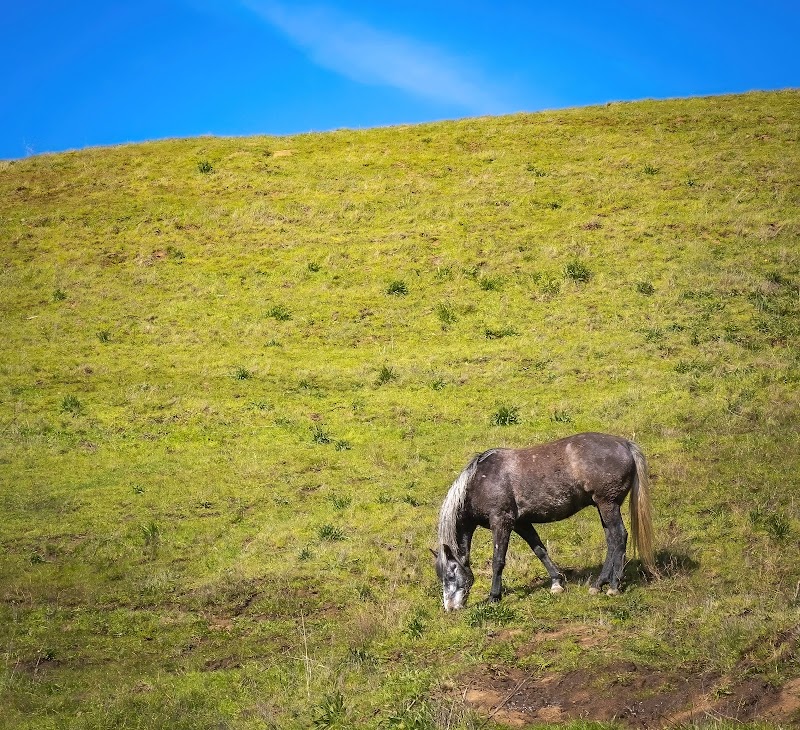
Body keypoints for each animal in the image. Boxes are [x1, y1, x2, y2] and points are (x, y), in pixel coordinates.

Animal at [433, 432, 655, 611]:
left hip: (608, 504)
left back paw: (614, 586)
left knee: (619, 537)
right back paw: (598, 584)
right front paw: (556, 583)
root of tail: (624, 443)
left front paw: (494, 597)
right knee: (611, 540)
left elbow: (498, 560)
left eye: (451, 575)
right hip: (603, 507)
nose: (451, 608)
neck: (480, 482)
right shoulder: (521, 524)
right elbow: (539, 550)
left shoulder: (502, 523)